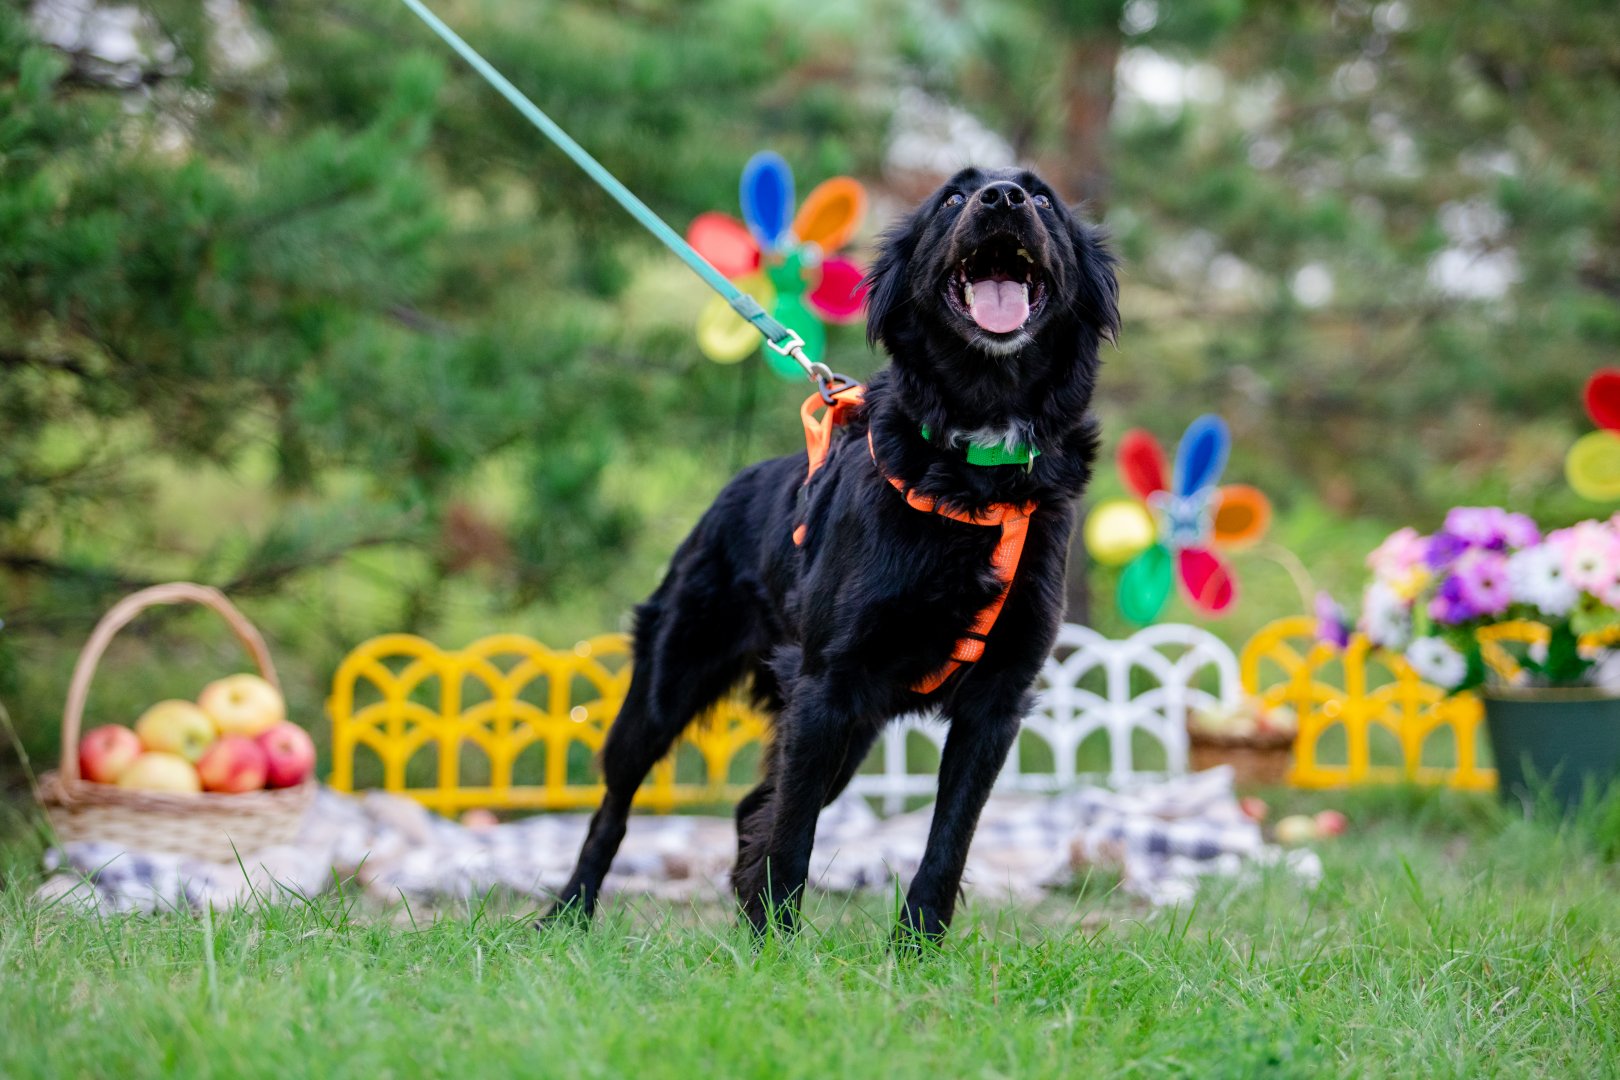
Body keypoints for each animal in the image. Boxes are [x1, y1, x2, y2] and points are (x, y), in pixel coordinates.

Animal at [550, 165, 1121, 939]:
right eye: (951, 197)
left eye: (1043, 201)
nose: (1001, 197)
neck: (975, 459)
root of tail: (732, 486)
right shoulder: (826, 681)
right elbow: (792, 835)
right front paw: (775, 949)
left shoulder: (994, 702)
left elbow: (949, 841)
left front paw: (915, 948)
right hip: (674, 681)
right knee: (618, 802)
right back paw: (568, 912)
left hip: (854, 730)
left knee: (749, 806)